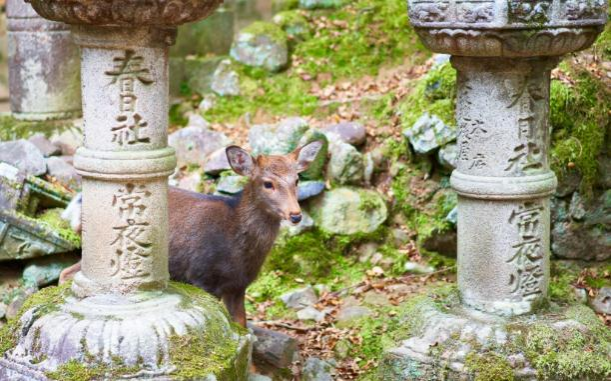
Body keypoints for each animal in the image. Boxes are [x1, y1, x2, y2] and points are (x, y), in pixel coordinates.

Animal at [58, 140, 326, 326]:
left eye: (297, 180)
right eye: (267, 183)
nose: (296, 214)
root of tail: (75, 206)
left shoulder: (238, 285)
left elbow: (242, 327)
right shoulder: (201, 275)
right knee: (68, 273)